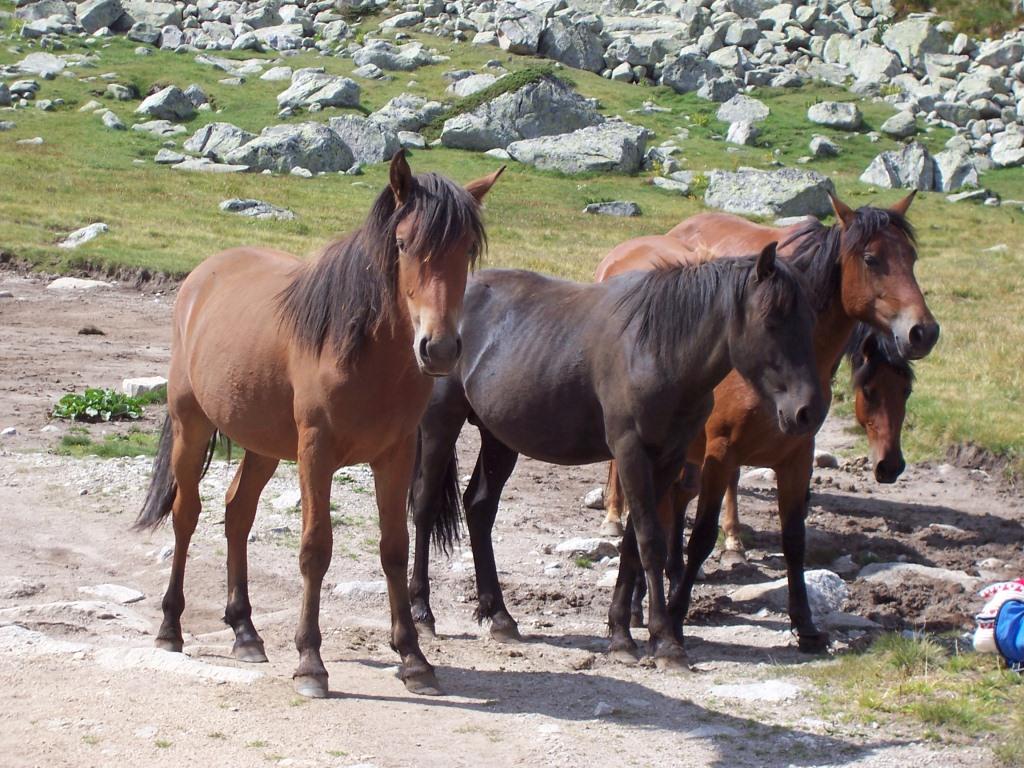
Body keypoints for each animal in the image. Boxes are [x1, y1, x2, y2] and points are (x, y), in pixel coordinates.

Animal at [133, 153, 503, 699]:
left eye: (467, 249)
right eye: (402, 242)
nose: (438, 349)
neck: (363, 351)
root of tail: (202, 276)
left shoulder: (395, 456)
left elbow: (394, 548)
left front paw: (413, 658)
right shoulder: (316, 452)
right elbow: (315, 548)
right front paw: (310, 662)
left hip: (263, 445)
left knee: (237, 513)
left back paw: (245, 632)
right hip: (191, 427)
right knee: (186, 515)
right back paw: (170, 627)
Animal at [408, 242, 825, 670]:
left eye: (811, 319)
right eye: (771, 320)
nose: (807, 412)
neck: (657, 350)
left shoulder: (667, 459)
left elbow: (632, 544)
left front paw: (622, 634)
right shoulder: (630, 451)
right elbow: (650, 541)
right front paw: (665, 642)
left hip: (500, 438)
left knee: (479, 508)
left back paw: (500, 616)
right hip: (441, 425)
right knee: (424, 506)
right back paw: (423, 614)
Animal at [597, 192, 938, 650]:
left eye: (912, 258)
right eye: (871, 258)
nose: (923, 331)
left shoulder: (797, 458)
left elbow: (794, 540)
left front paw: (805, 625)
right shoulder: (721, 454)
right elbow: (702, 537)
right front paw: (678, 615)